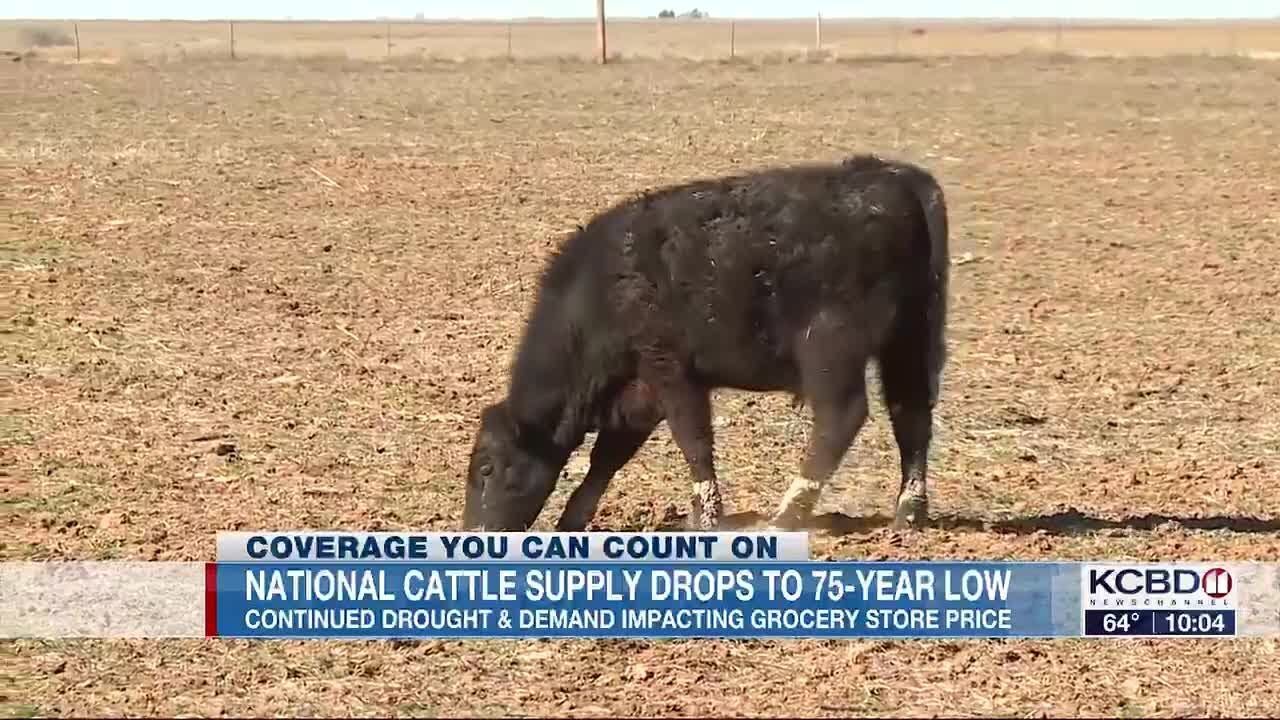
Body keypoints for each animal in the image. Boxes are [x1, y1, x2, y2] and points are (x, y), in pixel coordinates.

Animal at [461, 153, 949, 534]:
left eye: (487, 467)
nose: (473, 535)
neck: (605, 288)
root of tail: (893, 177)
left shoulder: (671, 372)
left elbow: (693, 442)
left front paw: (707, 518)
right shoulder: (639, 395)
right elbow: (608, 458)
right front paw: (570, 521)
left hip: (831, 348)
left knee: (841, 418)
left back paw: (786, 516)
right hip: (910, 341)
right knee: (911, 415)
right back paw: (908, 513)